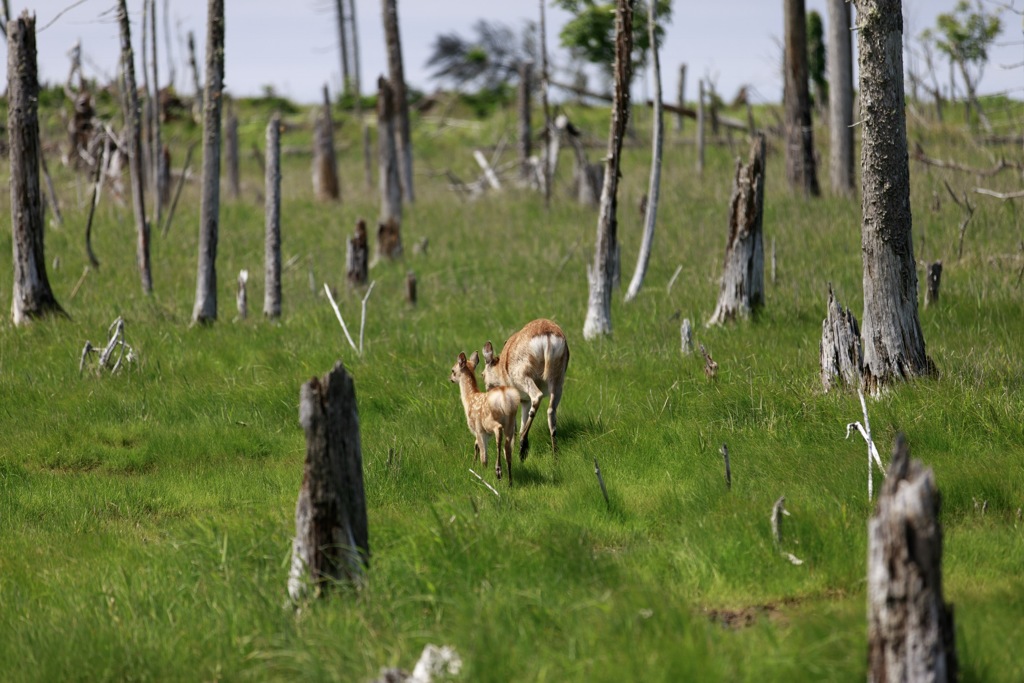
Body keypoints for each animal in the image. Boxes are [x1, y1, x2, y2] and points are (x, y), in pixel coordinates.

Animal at [481, 319, 569, 458]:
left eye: (482, 374)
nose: (488, 391)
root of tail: (547, 335)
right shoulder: (525, 400)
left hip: (524, 377)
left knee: (537, 396)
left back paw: (523, 446)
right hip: (558, 381)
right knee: (551, 411)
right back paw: (555, 456)